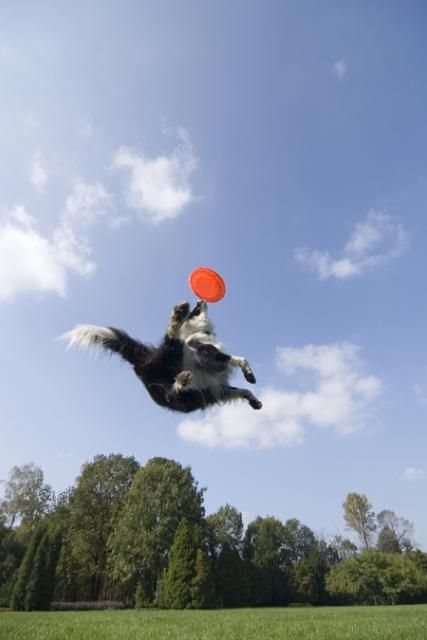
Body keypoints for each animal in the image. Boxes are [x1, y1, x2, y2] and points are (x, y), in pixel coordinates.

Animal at [59, 302, 260, 416]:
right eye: (197, 309)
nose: (199, 300)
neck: (197, 332)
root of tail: (142, 360)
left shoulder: (216, 387)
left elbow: (241, 388)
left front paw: (254, 398)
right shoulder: (208, 354)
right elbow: (235, 358)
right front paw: (248, 373)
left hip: (186, 397)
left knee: (173, 393)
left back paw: (182, 379)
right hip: (176, 355)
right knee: (171, 339)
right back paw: (178, 316)